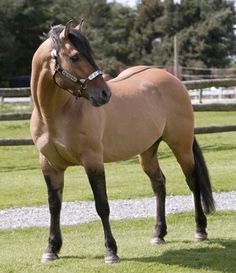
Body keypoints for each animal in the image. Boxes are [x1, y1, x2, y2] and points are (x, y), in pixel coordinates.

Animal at [30, 21, 215, 264]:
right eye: (75, 57)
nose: (104, 93)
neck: (57, 114)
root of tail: (174, 80)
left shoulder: (93, 161)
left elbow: (102, 206)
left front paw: (111, 251)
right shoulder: (50, 165)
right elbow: (54, 206)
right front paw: (51, 248)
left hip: (181, 146)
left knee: (192, 182)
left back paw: (200, 230)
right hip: (147, 152)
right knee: (159, 184)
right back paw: (158, 233)